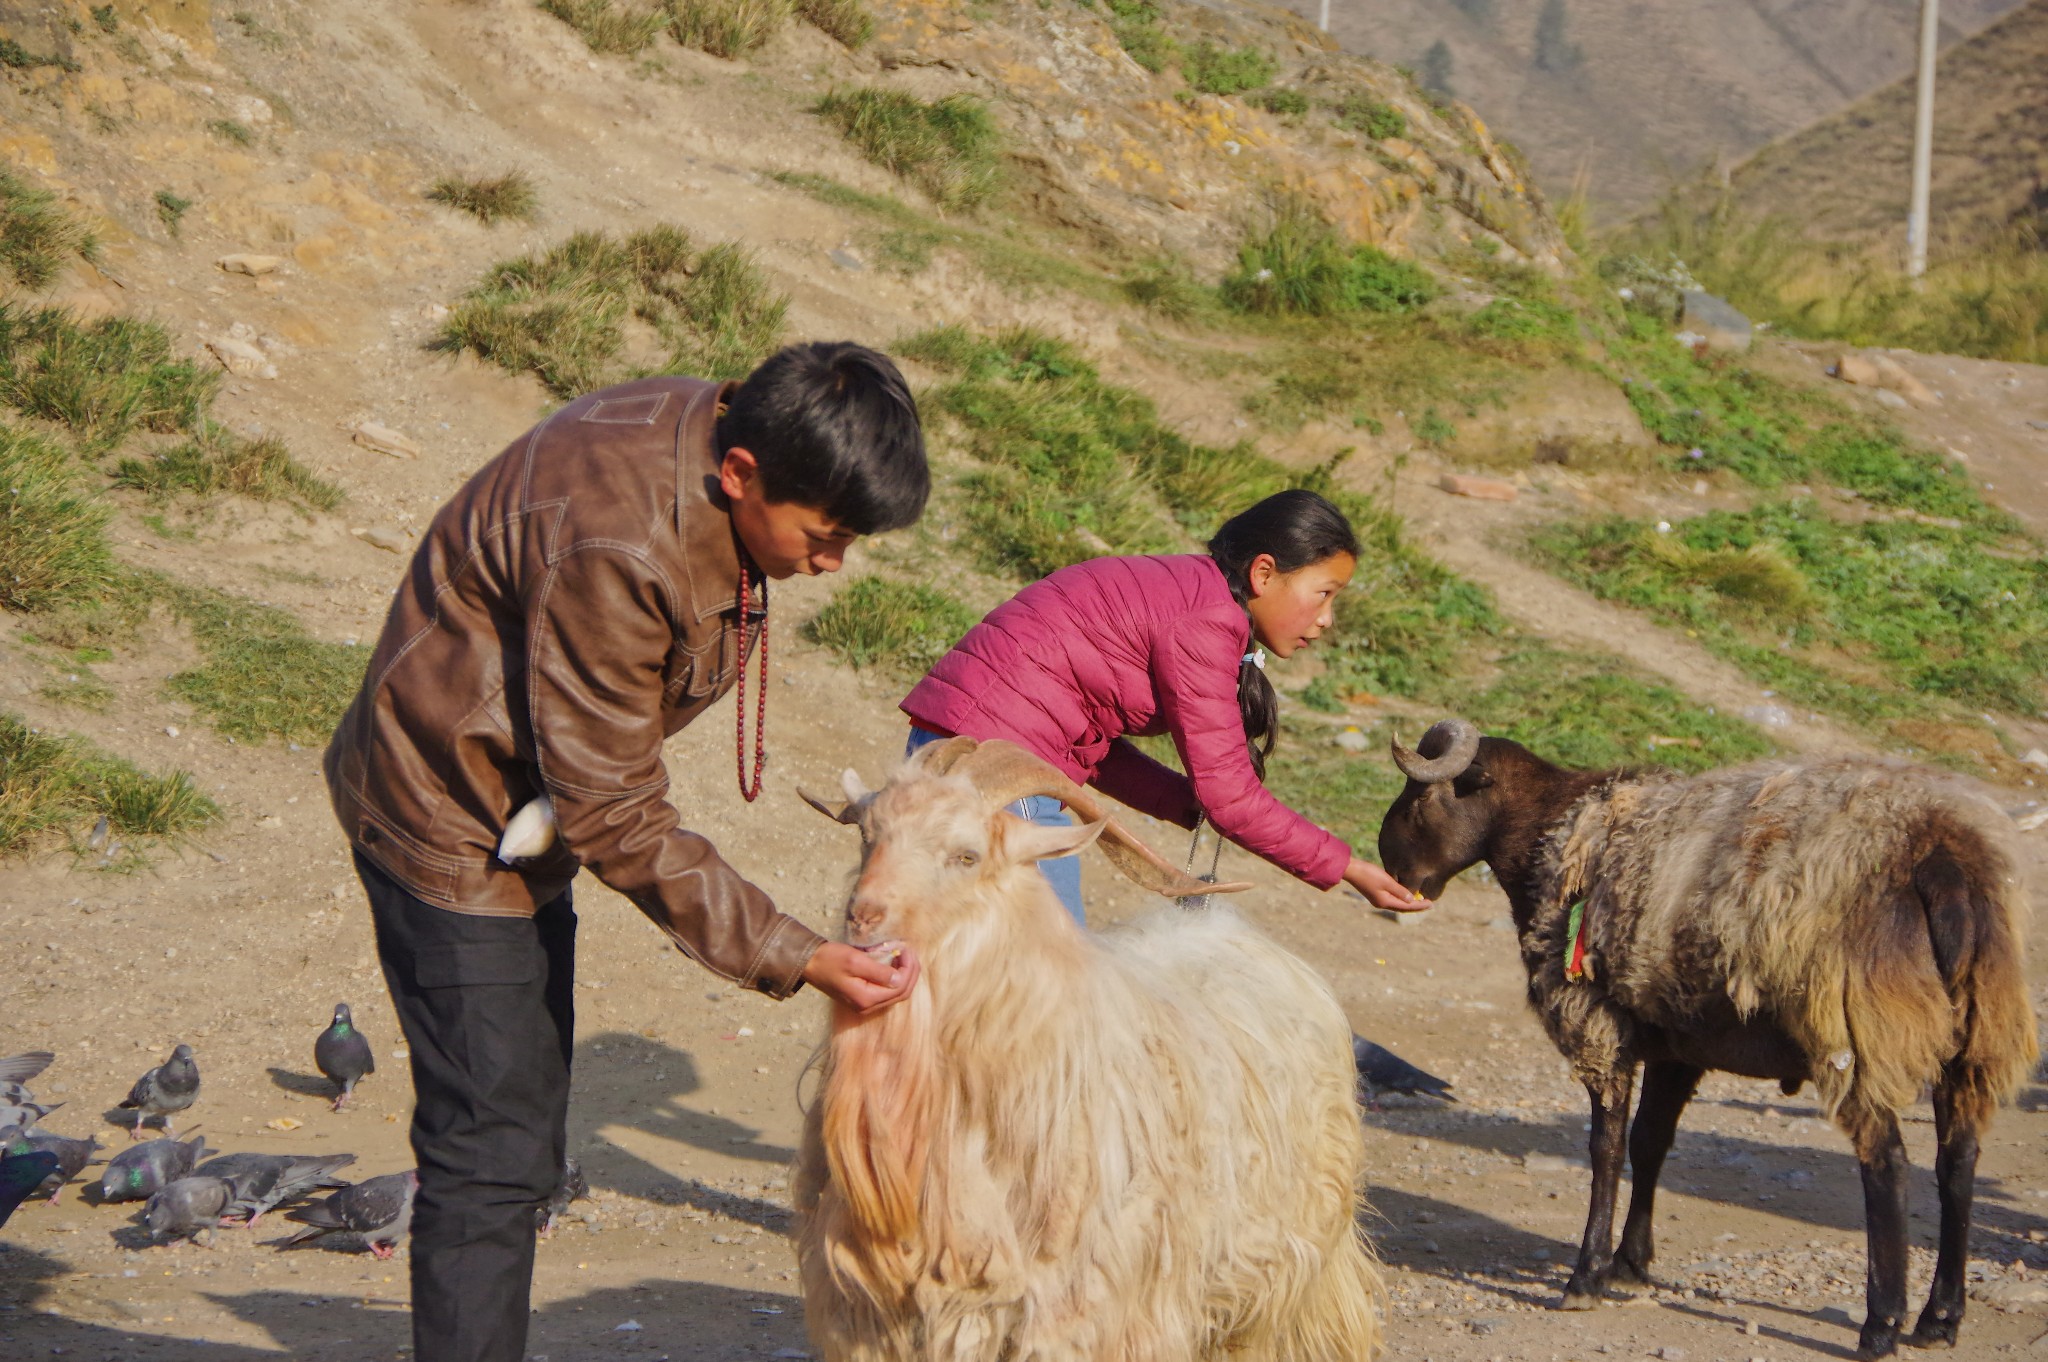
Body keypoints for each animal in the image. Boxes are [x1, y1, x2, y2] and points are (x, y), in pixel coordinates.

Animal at [1376, 716, 2031, 1351]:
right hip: (1974, 1040)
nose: (1390, 866)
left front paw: (1587, 1275)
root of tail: (1941, 861)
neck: (1553, 829)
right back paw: (1939, 1318)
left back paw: (1882, 1323)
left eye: (1419, 800)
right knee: (1957, 1162)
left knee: (1889, 1164)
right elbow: (1650, 1143)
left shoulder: (1598, 1022)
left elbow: (1606, 1148)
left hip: (1860, 1033)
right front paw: (1630, 1264)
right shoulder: (1676, 1042)